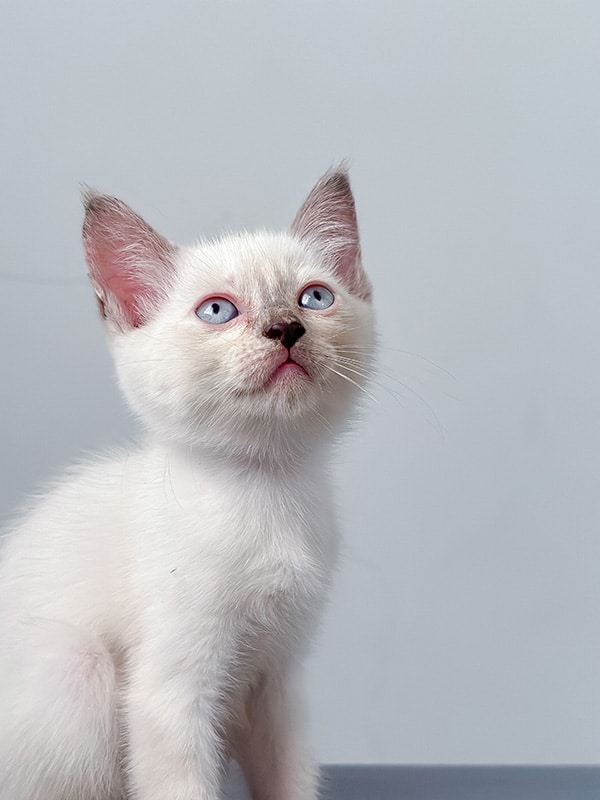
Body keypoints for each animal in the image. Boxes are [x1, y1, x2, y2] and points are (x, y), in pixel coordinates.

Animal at [0, 170, 376, 800]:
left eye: (315, 298)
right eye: (218, 310)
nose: (286, 328)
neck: (265, 489)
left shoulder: (278, 679)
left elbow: (289, 776)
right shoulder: (170, 691)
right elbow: (182, 785)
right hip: (76, 664)